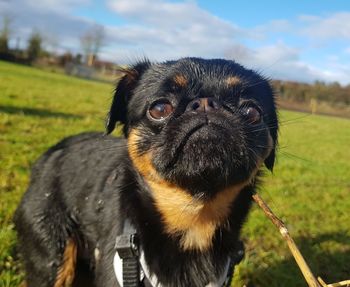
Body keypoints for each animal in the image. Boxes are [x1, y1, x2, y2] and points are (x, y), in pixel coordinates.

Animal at [14, 58, 278, 287]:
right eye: (159, 108)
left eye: (252, 112)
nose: (206, 104)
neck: (193, 221)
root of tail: (49, 155)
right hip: (52, 255)